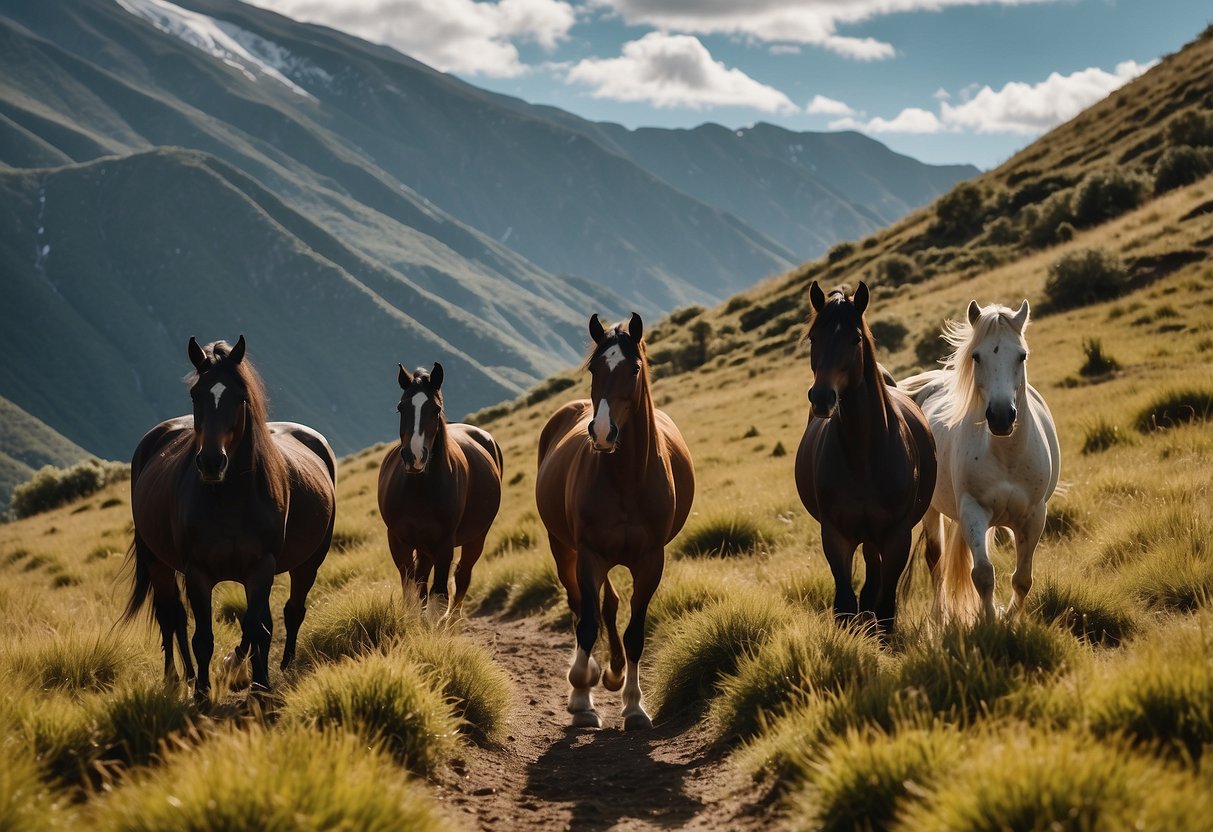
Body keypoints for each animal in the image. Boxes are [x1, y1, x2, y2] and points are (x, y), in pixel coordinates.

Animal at [126, 334, 337, 698]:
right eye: (196, 394)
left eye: (240, 397)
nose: (211, 462)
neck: (232, 500)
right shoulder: (197, 572)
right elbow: (203, 637)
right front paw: (202, 694)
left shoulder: (261, 567)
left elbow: (258, 627)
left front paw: (258, 685)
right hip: (157, 561)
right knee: (171, 615)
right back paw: (178, 678)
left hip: (310, 561)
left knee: (291, 611)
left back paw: (281, 664)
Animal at [371, 361, 499, 620]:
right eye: (401, 407)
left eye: (435, 409)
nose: (414, 457)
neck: (419, 488)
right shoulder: (398, 540)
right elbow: (411, 592)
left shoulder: (444, 545)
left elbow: (438, 597)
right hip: (423, 546)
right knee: (421, 580)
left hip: (475, 538)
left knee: (462, 576)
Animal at [538, 315, 698, 732]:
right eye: (595, 369)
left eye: (634, 369)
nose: (602, 432)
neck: (627, 479)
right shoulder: (589, 555)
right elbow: (588, 623)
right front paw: (582, 697)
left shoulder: (651, 561)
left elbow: (635, 633)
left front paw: (634, 706)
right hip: (565, 549)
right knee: (585, 606)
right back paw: (594, 676)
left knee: (608, 606)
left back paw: (613, 672)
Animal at [795, 283, 936, 635]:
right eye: (814, 337)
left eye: (855, 339)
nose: (822, 397)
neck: (863, 455)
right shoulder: (835, 535)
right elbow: (845, 605)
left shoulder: (897, 536)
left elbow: (885, 607)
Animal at [902, 303, 1062, 620]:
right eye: (977, 356)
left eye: (1022, 355)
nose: (1001, 417)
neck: (1006, 455)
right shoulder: (973, 511)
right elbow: (984, 575)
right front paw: (990, 623)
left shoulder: (1034, 516)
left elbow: (1022, 579)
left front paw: (1009, 619)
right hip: (933, 510)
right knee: (936, 561)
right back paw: (940, 616)